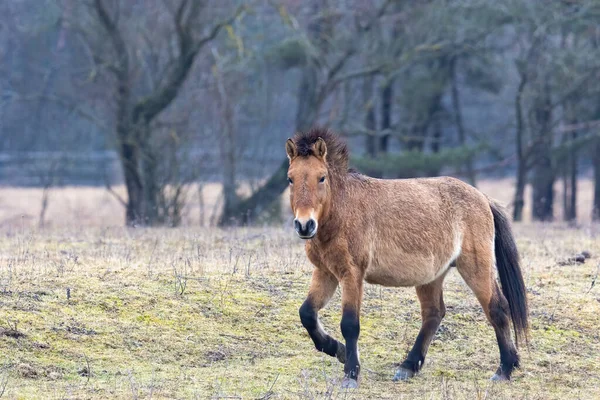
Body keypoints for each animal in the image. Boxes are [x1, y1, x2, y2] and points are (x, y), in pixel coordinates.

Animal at [288, 128, 528, 388]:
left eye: (321, 177)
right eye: (290, 178)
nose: (304, 225)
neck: (342, 211)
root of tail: (483, 198)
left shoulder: (351, 274)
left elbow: (350, 324)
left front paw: (351, 374)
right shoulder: (326, 272)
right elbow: (307, 314)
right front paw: (339, 351)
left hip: (475, 267)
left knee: (497, 308)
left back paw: (504, 369)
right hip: (432, 276)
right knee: (434, 314)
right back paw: (407, 367)